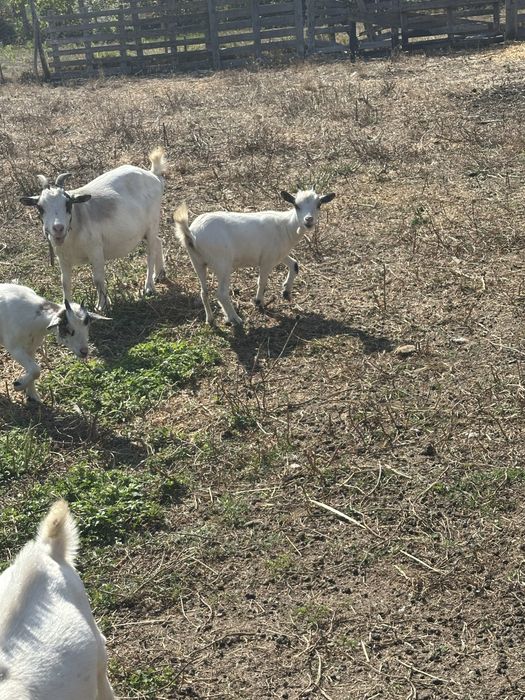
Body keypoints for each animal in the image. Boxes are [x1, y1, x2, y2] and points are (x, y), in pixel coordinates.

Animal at [20, 148, 168, 312]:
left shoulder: (96, 250)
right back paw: (160, 274)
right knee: (158, 241)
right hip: (146, 231)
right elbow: (65, 282)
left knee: (150, 253)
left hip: (152, 223)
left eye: (68, 203)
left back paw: (149, 287)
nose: (58, 228)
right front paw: (67, 308)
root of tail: (153, 175)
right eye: (40, 207)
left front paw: (101, 305)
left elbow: (97, 279)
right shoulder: (63, 258)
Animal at [173, 189, 335, 325]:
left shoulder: (278, 254)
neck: (286, 227)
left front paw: (286, 292)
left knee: (204, 291)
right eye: (296, 205)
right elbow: (262, 282)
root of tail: (191, 235)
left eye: (319, 204)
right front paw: (259, 302)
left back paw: (211, 320)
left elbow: (294, 264)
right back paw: (235, 319)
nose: (309, 220)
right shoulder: (267, 259)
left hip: (197, 262)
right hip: (222, 263)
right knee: (221, 293)